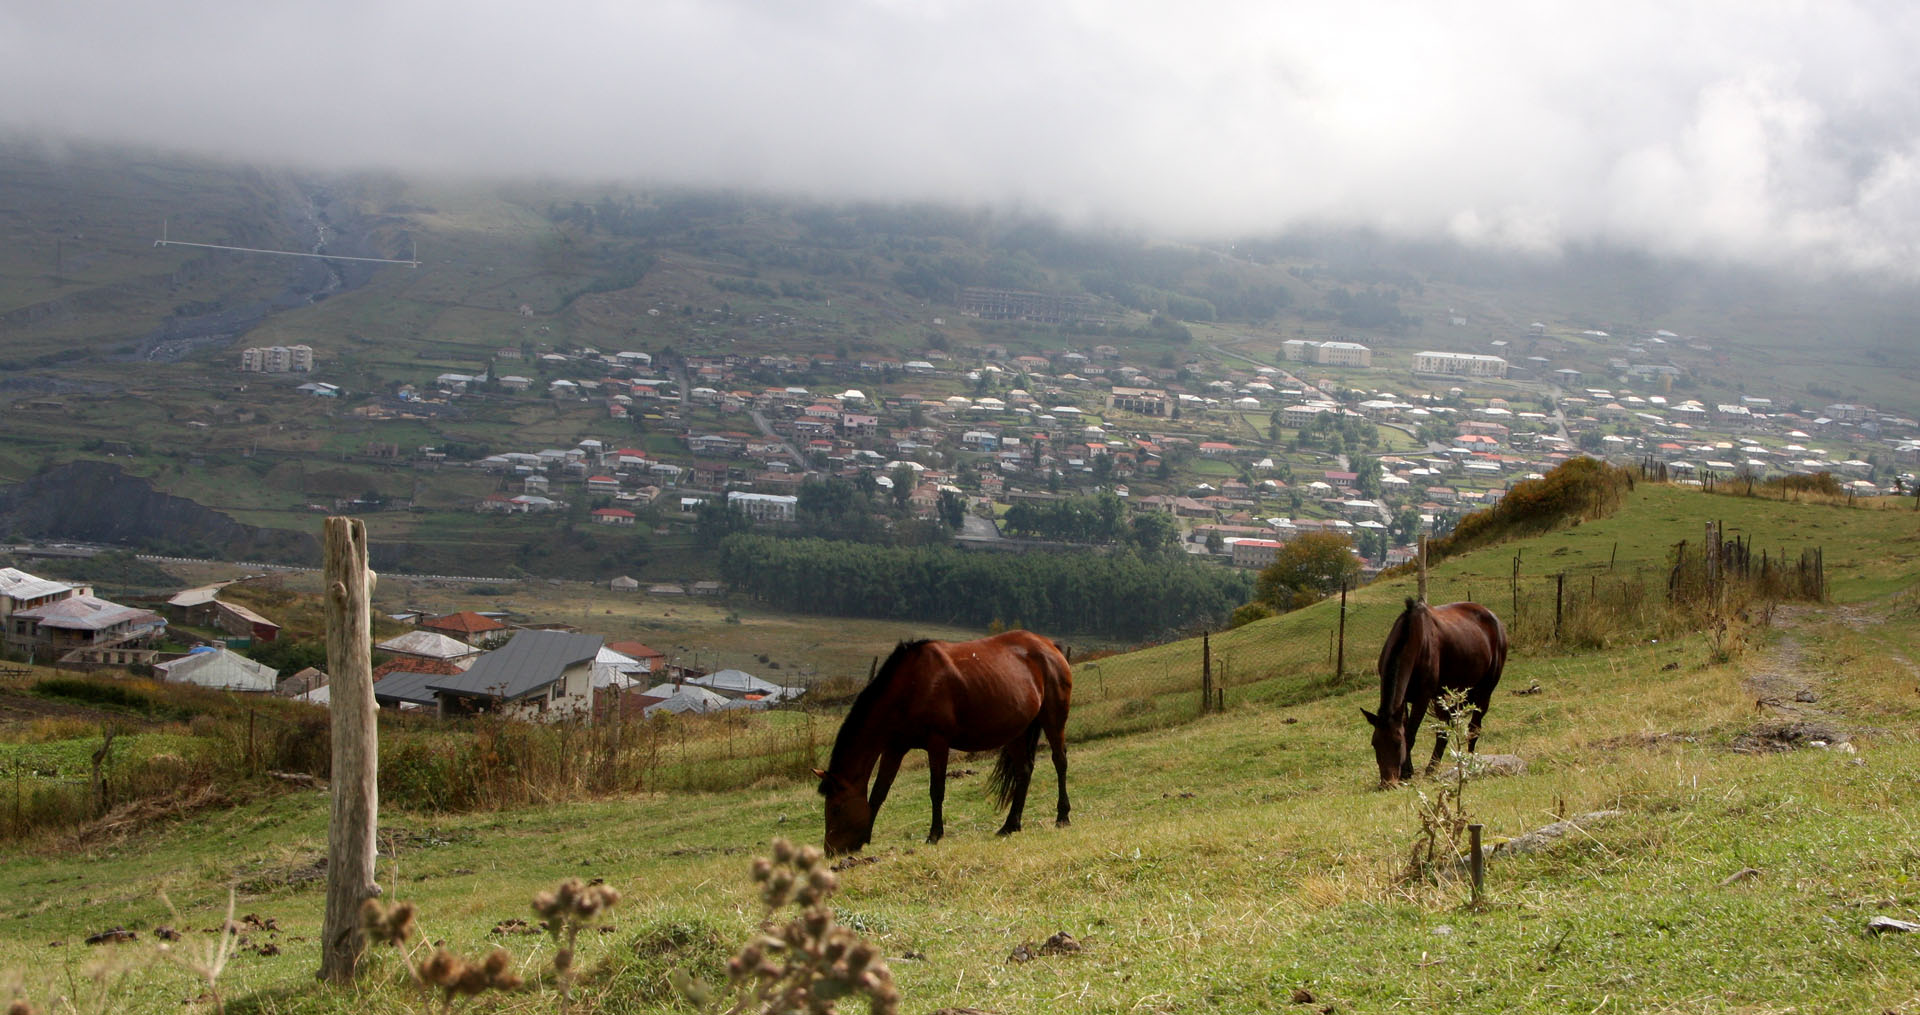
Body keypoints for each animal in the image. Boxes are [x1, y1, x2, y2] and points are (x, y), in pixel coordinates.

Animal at [814, 633, 1075, 855]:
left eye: (836, 808)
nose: (830, 851)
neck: (909, 686)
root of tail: (1049, 645)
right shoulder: (894, 748)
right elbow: (879, 792)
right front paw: (865, 837)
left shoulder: (937, 742)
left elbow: (936, 790)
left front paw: (934, 834)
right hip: (1016, 732)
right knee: (1024, 772)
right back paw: (1010, 825)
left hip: (1053, 719)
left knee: (1060, 761)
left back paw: (1062, 817)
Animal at [1359, 598, 1505, 786]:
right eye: (1374, 744)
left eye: (1398, 744)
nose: (1387, 783)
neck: (1412, 637)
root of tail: (1495, 620)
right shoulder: (1405, 700)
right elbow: (1407, 728)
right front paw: (1408, 771)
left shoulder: (1422, 698)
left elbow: (1410, 734)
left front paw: (1405, 772)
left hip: (1484, 692)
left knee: (1474, 728)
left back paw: (1467, 763)